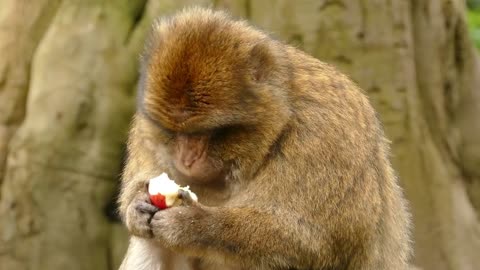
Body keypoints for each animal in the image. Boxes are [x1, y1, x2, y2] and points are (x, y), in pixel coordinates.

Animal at [118, 6, 410, 270]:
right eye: (174, 132)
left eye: (206, 132)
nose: (186, 159)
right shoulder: (144, 130)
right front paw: (137, 205)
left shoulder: (325, 134)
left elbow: (317, 243)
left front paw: (192, 224)